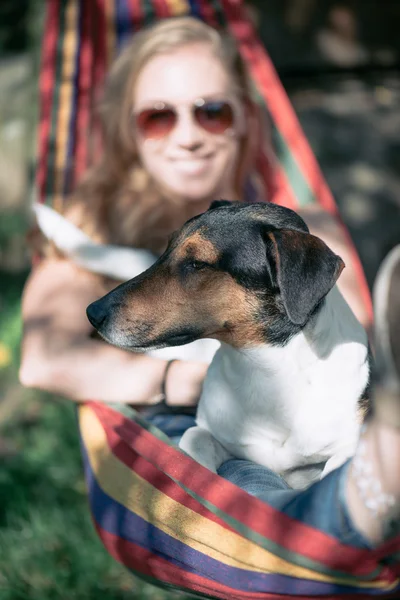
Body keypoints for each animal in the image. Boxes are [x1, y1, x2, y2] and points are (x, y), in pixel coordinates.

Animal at [86, 202, 370, 488]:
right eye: (167, 248)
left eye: (197, 263)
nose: (92, 312)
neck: (266, 370)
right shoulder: (214, 435)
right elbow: (193, 440)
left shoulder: (346, 448)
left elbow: (336, 467)